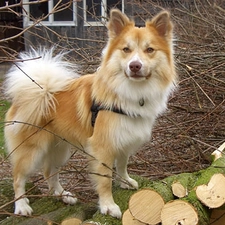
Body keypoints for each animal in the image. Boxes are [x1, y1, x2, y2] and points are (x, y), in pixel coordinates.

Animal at [3, 8, 176, 218]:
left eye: (149, 50)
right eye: (126, 50)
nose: (134, 66)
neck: (130, 91)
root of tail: (41, 91)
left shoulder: (124, 139)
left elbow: (122, 164)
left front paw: (125, 181)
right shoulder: (103, 147)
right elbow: (105, 178)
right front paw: (108, 205)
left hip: (59, 149)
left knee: (49, 172)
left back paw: (63, 195)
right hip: (32, 150)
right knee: (18, 177)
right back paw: (21, 206)